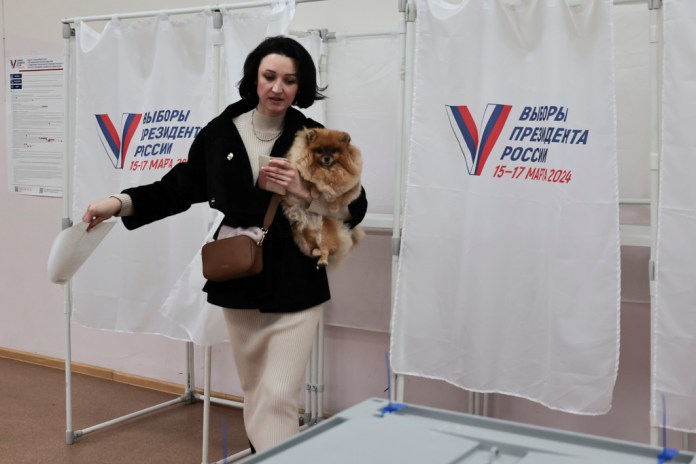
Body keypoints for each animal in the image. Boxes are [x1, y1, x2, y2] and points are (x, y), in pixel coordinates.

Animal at [280, 129, 364, 266]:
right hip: (303, 230)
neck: (327, 172)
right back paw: (316, 251)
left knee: (326, 249)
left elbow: (341, 196)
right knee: (313, 245)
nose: (327, 158)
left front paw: (334, 207)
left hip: (327, 231)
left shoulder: (352, 187)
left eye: (334, 151)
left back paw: (323, 259)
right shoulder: (302, 173)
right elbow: (311, 182)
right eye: (319, 151)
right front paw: (315, 193)